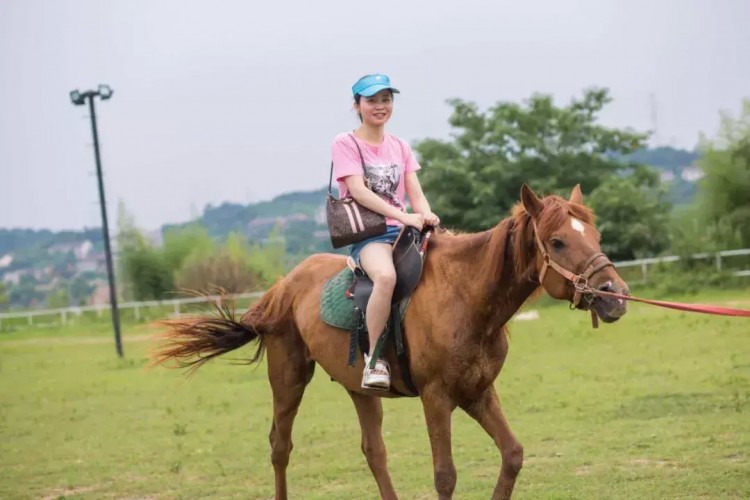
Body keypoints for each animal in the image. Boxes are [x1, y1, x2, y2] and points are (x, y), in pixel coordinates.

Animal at [156, 185, 632, 500]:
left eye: (595, 236)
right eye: (557, 241)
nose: (616, 295)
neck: (466, 295)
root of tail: (281, 286)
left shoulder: (478, 392)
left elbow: (512, 455)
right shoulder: (437, 397)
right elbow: (445, 475)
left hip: (359, 388)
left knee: (374, 452)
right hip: (288, 377)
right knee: (280, 447)